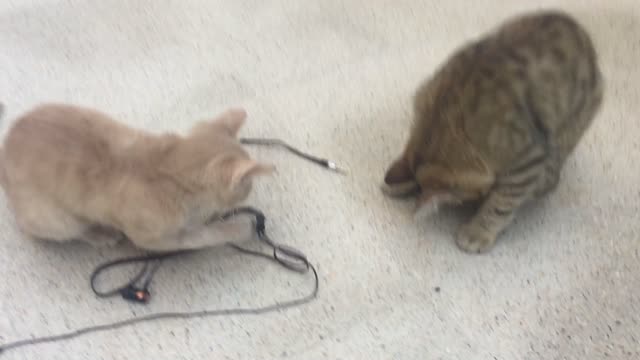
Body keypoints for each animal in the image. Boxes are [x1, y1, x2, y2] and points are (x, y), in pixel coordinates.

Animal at [0, 103, 272, 250]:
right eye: (248, 185)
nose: (248, 192)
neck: (168, 165)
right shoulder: (153, 238)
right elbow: (202, 236)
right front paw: (238, 227)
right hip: (54, 220)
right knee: (70, 230)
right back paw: (99, 234)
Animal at [382, 11, 604, 253]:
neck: (447, 114)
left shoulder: (526, 160)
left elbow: (501, 203)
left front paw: (477, 231)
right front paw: (401, 182)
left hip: (573, 122)